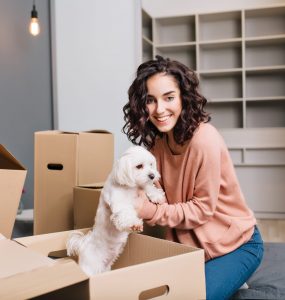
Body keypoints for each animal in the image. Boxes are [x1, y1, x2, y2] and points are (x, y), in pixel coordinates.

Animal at [65, 146, 165, 276]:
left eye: (151, 164)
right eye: (139, 166)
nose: (152, 175)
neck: (129, 187)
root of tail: (84, 244)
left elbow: (147, 187)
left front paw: (157, 195)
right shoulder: (119, 202)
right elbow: (125, 213)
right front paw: (134, 224)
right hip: (90, 269)